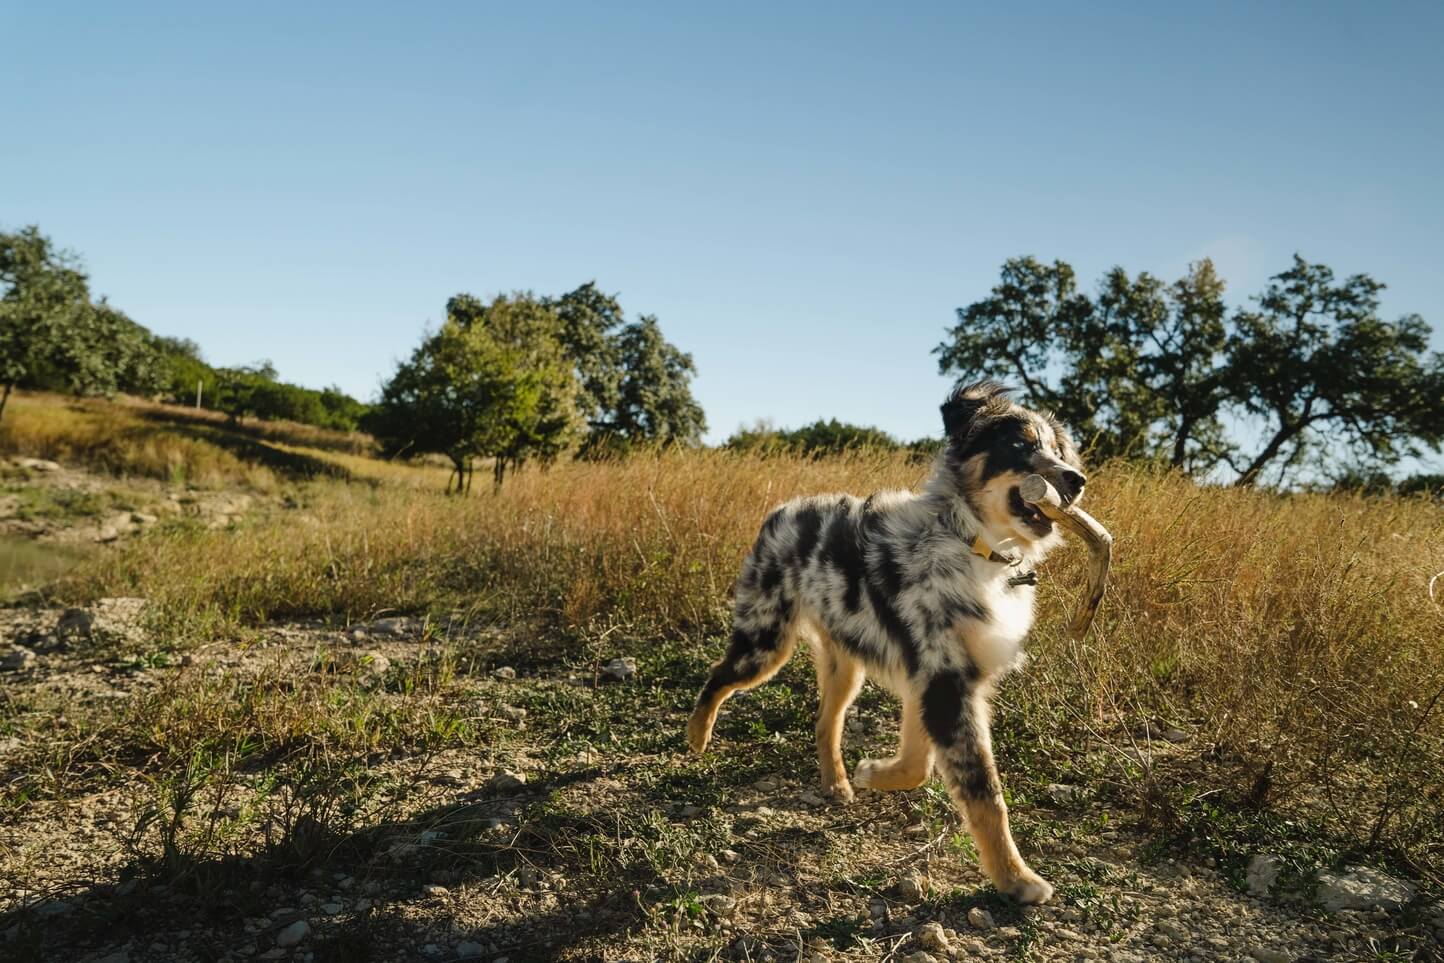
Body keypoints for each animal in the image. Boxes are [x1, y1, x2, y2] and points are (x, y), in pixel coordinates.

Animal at [684, 381, 1085, 906]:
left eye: (1058, 451)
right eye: (1020, 446)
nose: (1077, 480)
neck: (972, 544)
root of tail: (781, 510)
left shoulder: (931, 680)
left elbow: (918, 764)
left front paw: (873, 772)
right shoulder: (944, 682)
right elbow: (984, 792)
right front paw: (1016, 879)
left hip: (844, 664)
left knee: (824, 721)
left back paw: (836, 783)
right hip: (765, 641)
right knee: (717, 677)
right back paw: (697, 736)